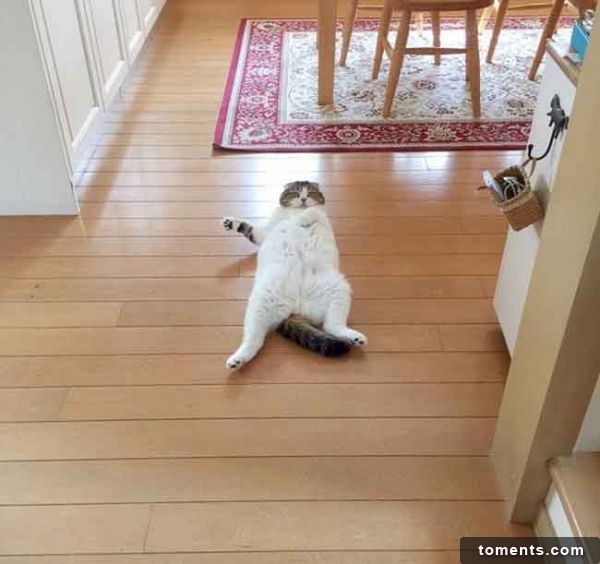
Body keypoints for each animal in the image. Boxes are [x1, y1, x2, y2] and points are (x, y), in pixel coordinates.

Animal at [221, 180, 367, 370]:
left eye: (310, 193)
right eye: (296, 193)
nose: (303, 199)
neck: (294, 211)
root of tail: (297, 308)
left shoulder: (321, 215)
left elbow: (312, 212)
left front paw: (302, 219)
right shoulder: (265, 233)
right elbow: (250, 230)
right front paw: (230, 222)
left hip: (339, 289)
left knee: (332, 325)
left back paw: (355, 337)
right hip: (260, 302)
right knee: (254, 339)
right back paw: (237, 359)